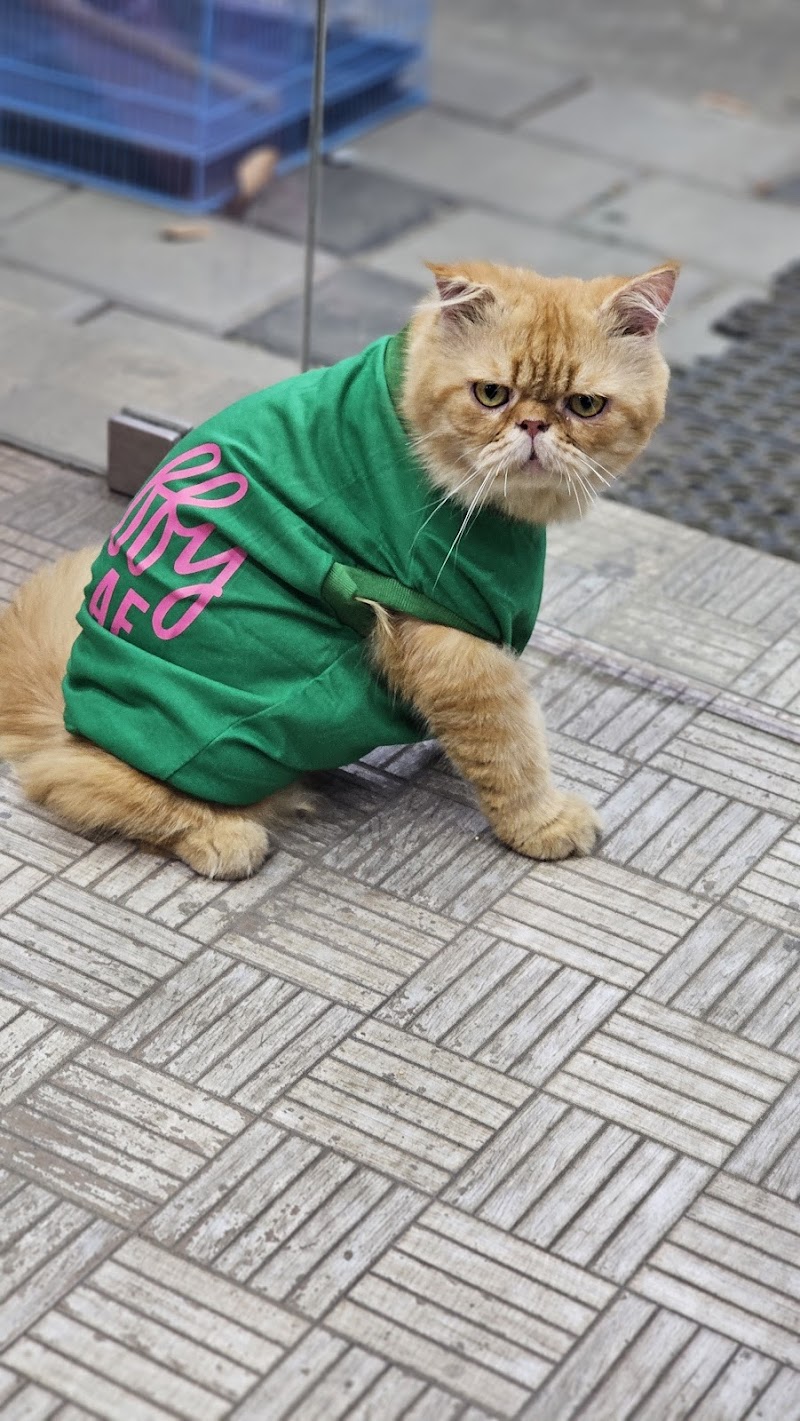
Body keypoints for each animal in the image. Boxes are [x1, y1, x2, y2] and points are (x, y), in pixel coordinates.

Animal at [0, 258, 677, 879]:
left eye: (585, 405)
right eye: (492, 395)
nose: (535, 426)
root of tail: (67, 712)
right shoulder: (445, 632)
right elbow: (510, 747)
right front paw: (543, 823)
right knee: (82, 783)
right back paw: (223, 835)